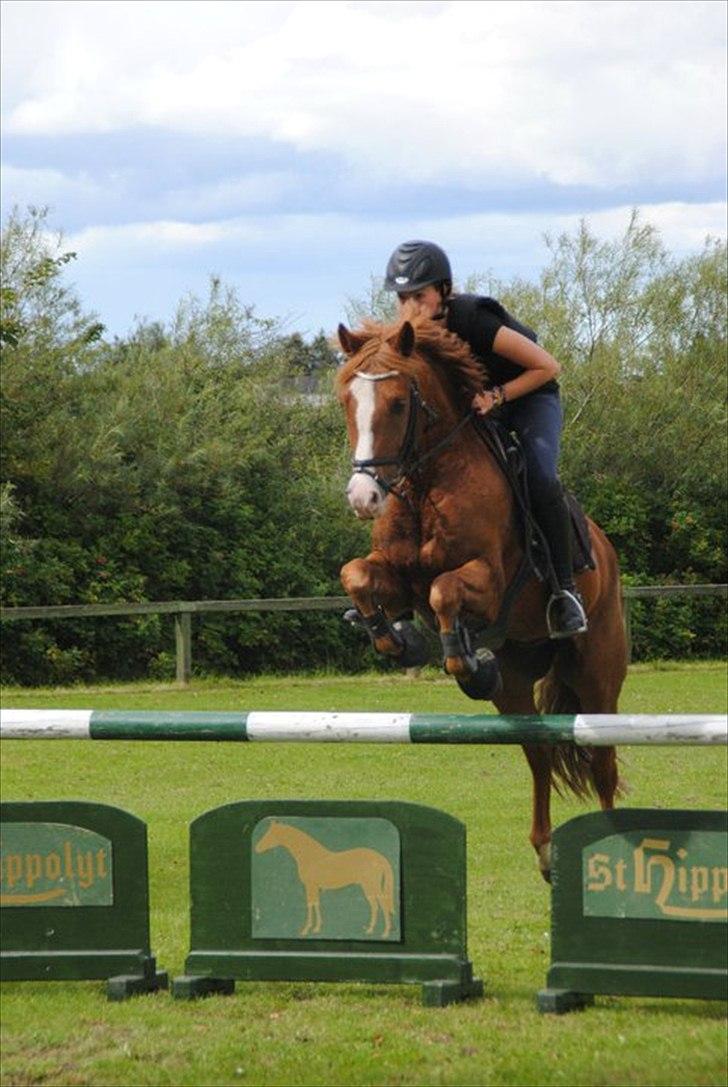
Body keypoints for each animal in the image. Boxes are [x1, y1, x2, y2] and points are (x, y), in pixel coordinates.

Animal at [254, 820, 395, 937]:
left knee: (382, 904)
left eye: (270, 834)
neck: (311, 856)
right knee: (375, 906)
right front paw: (316, 928)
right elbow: (316, 903)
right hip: (368, 888)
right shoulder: (315, 888)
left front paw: (306, 929)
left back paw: (385, 933)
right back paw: (370, 930)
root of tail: (380, 857)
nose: (256, 848)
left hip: (372, 886)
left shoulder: (310, 886)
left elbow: (310, 904)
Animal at [335, 312, 628, 878]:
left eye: (398, 404)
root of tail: (607, 553)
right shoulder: (397, 575)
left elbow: (446, 592)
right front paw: (399, 639)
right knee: (538, 751)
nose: (364, 498)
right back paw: (545, 849)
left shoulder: (489, 583)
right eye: (345, 401)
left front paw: (466, 662)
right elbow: (356, 574)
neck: (426, 482)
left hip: (598, 674)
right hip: (518, 682)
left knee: (602, 761)